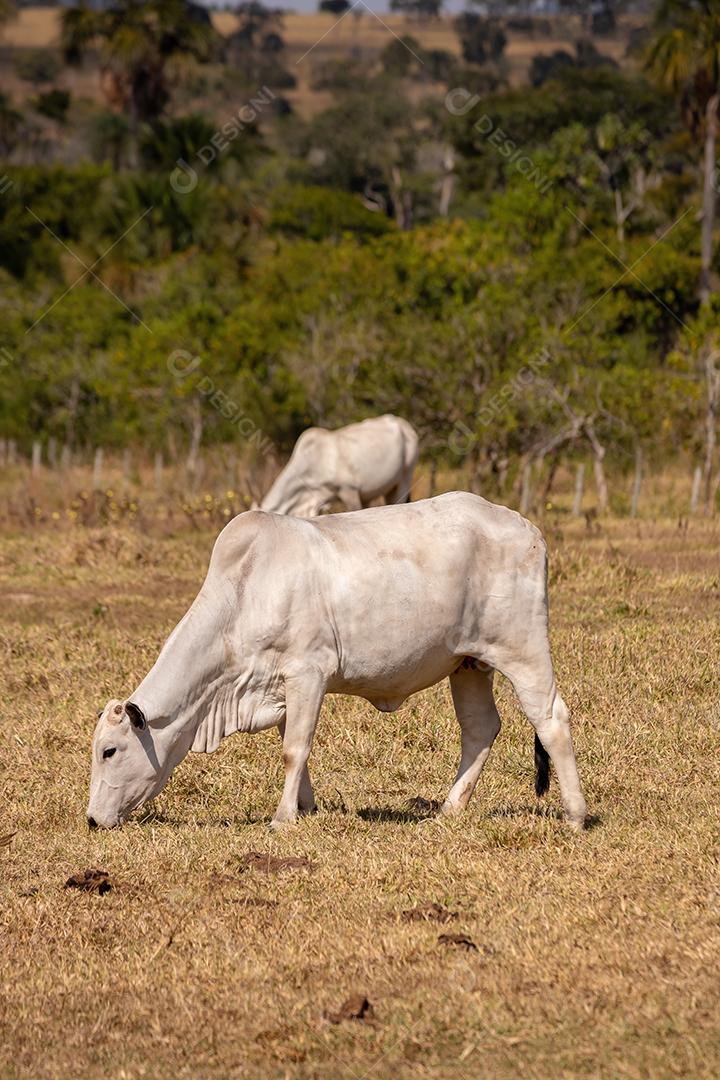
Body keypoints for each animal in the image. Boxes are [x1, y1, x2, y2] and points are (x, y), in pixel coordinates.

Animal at [87, 494, 587, 829]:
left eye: (110, 750)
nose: (92, 819)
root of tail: (526, 526)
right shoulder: (283, 689)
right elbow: (294, 745)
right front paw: (305, 806)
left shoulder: (308, 673)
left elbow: (294, 749)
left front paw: (283, 818)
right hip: (467, 664)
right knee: (481, 729)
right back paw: (449, 809)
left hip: (523, 649)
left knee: (551, 719)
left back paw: (575, 814)